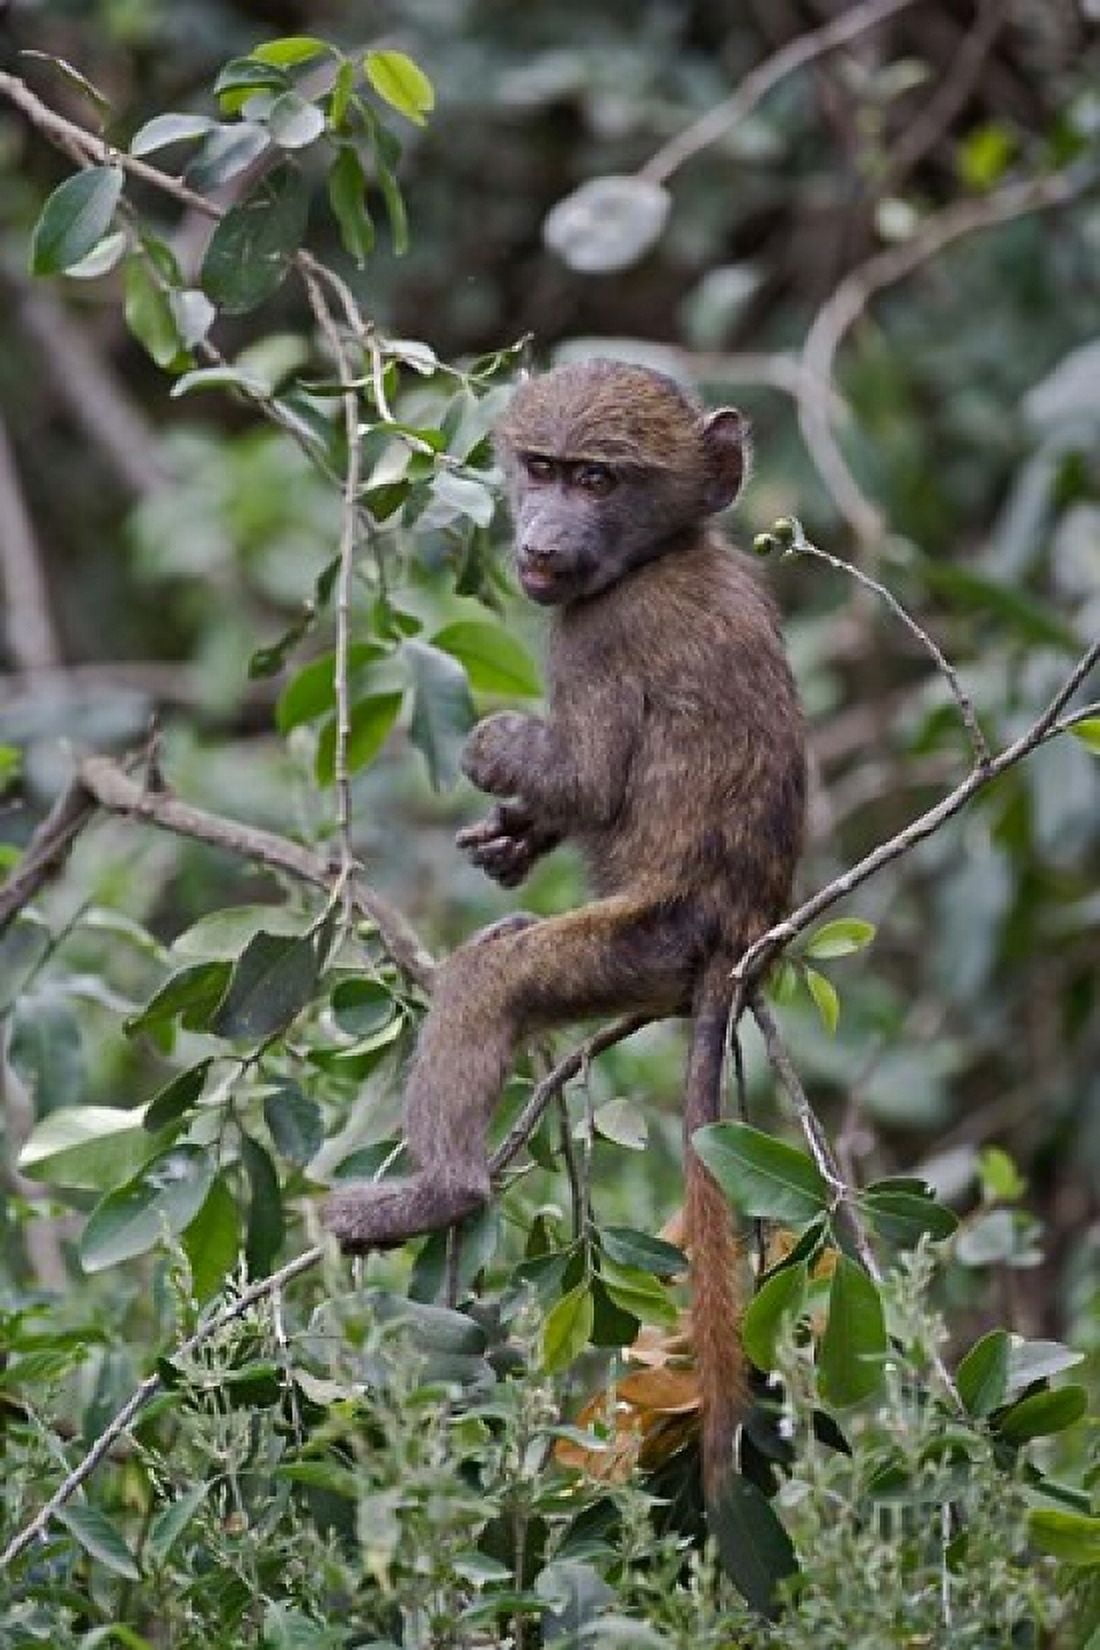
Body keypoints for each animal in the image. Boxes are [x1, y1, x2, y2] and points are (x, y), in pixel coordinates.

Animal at [324, 358, 806, 1507]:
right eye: (539, 469)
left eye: (597, 478)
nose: (542, 538)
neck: (667, 551)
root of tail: (737, 932)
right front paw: (516, 835)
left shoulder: (601, 634)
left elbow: (587, 776)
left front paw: (498, 753)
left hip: (641, 941)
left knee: (492, 979)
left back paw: (436, 1193)